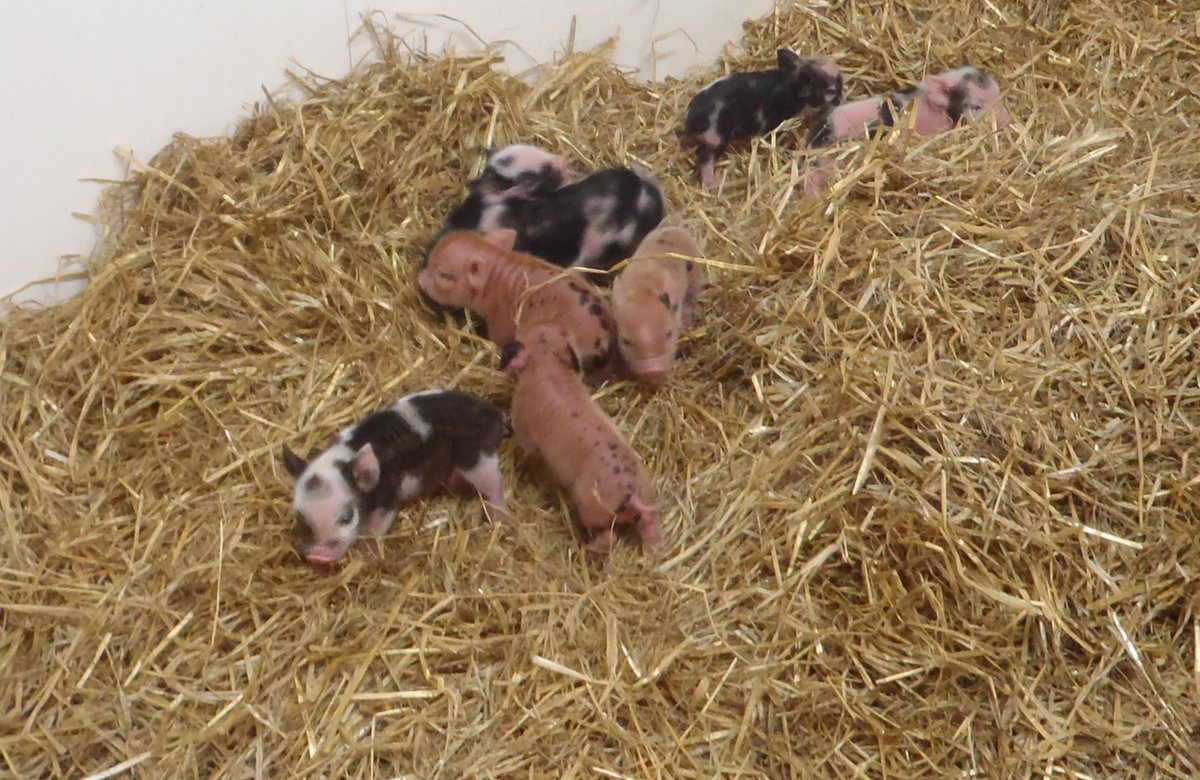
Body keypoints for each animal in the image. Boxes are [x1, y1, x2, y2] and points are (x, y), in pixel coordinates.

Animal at [281, 389, 510, 565]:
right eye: (300, 518)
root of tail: (494, 415)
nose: (317, 556)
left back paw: (499, 521)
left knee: (495, 486)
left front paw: (368, 556)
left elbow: (376, 530)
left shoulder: (388, 497)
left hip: (478, 458)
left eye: (347, 517)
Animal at [500, 322, 661, 556]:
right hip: (646, 493)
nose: (544, 324)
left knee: (609, 536)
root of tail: (632, 493)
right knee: (650, 524)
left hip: (590, 505)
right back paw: (655, 549)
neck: (547, 362)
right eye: (561, 333)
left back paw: (586, 550)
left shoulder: (525, 431)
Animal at [681, 49, 843, 188]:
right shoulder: (777, 124)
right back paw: (711, 185)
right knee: (704, 160)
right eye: (832, 90)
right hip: (716, 139)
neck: (792, 91)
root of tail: (692, 120)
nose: (843, 98)